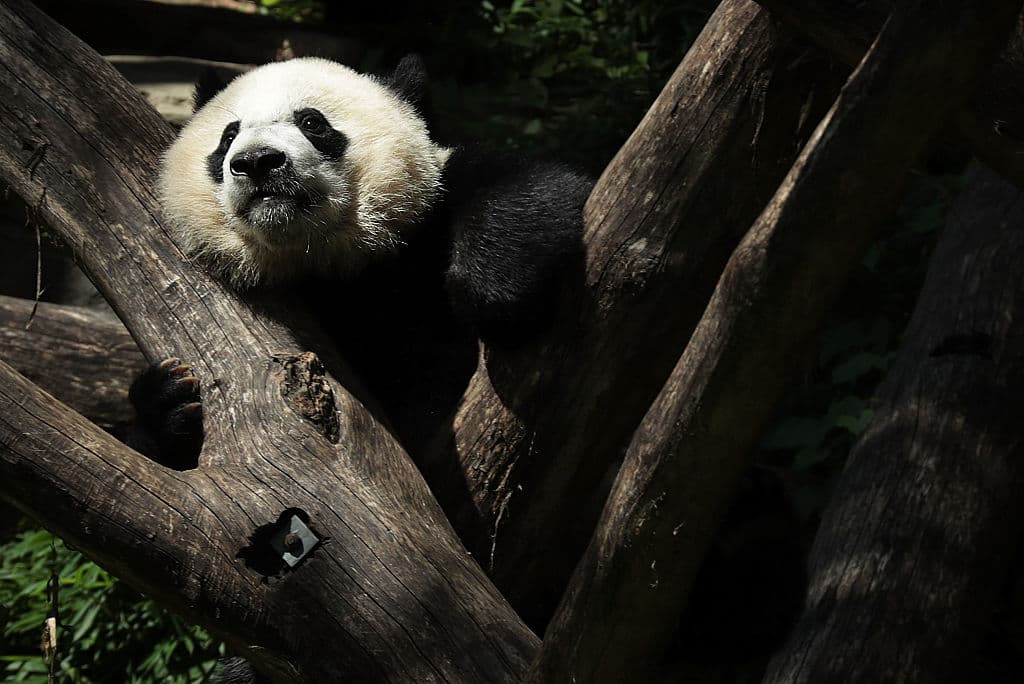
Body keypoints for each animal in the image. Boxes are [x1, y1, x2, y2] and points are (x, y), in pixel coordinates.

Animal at [125, 56, 592, 471]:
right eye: (228, 135)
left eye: (312, 123)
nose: (257, 161)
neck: (327, 259)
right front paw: (170, 399)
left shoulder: (428, 214)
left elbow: (535, 187)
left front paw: (491, 296)